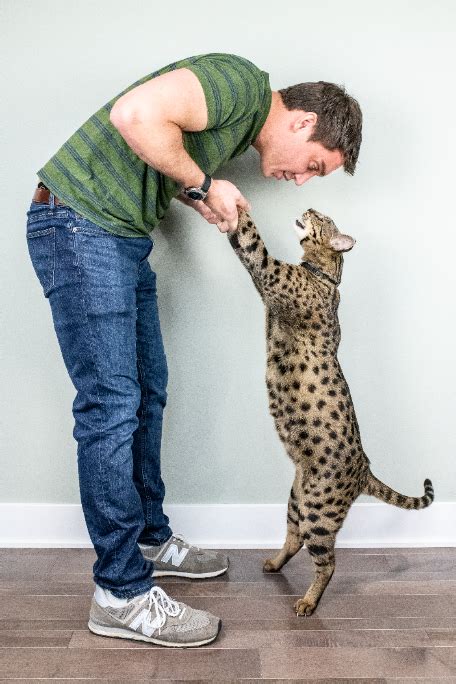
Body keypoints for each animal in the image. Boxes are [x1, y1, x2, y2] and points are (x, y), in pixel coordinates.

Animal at [230, 207, 432, 616]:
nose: (308, 208)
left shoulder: (269, 273)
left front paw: (238, 208)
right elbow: (244, 247)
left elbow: (252, 242)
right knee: (294, 538)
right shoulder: (267, 286)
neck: (324, 274)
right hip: (298, 501)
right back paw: (274, 563)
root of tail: (365, 470)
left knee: (328, 563)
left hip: (319, 513)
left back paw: (308, 602)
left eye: (322, 218)